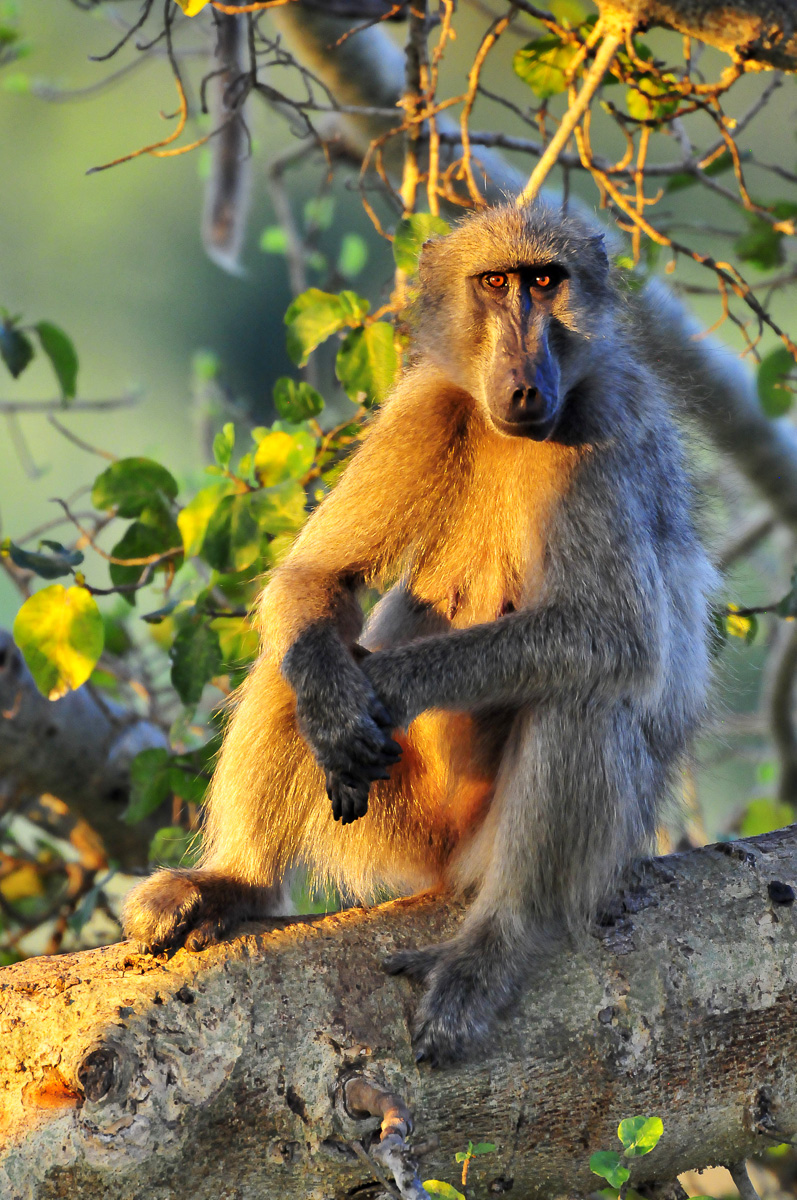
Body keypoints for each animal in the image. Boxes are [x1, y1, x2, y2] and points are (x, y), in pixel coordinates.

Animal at [123, 200, 716, 1064]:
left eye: (546, 282)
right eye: (495, 283)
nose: (524, 378)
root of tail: (441, 869)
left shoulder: (610, 417)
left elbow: (614, 637)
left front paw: (383, 686)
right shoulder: (425, 406)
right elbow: (315, 582)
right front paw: (336, 699)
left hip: (481, 850)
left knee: (581, 696)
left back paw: (495, 944)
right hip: (397, 823)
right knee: (295, 658)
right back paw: (235, 881)